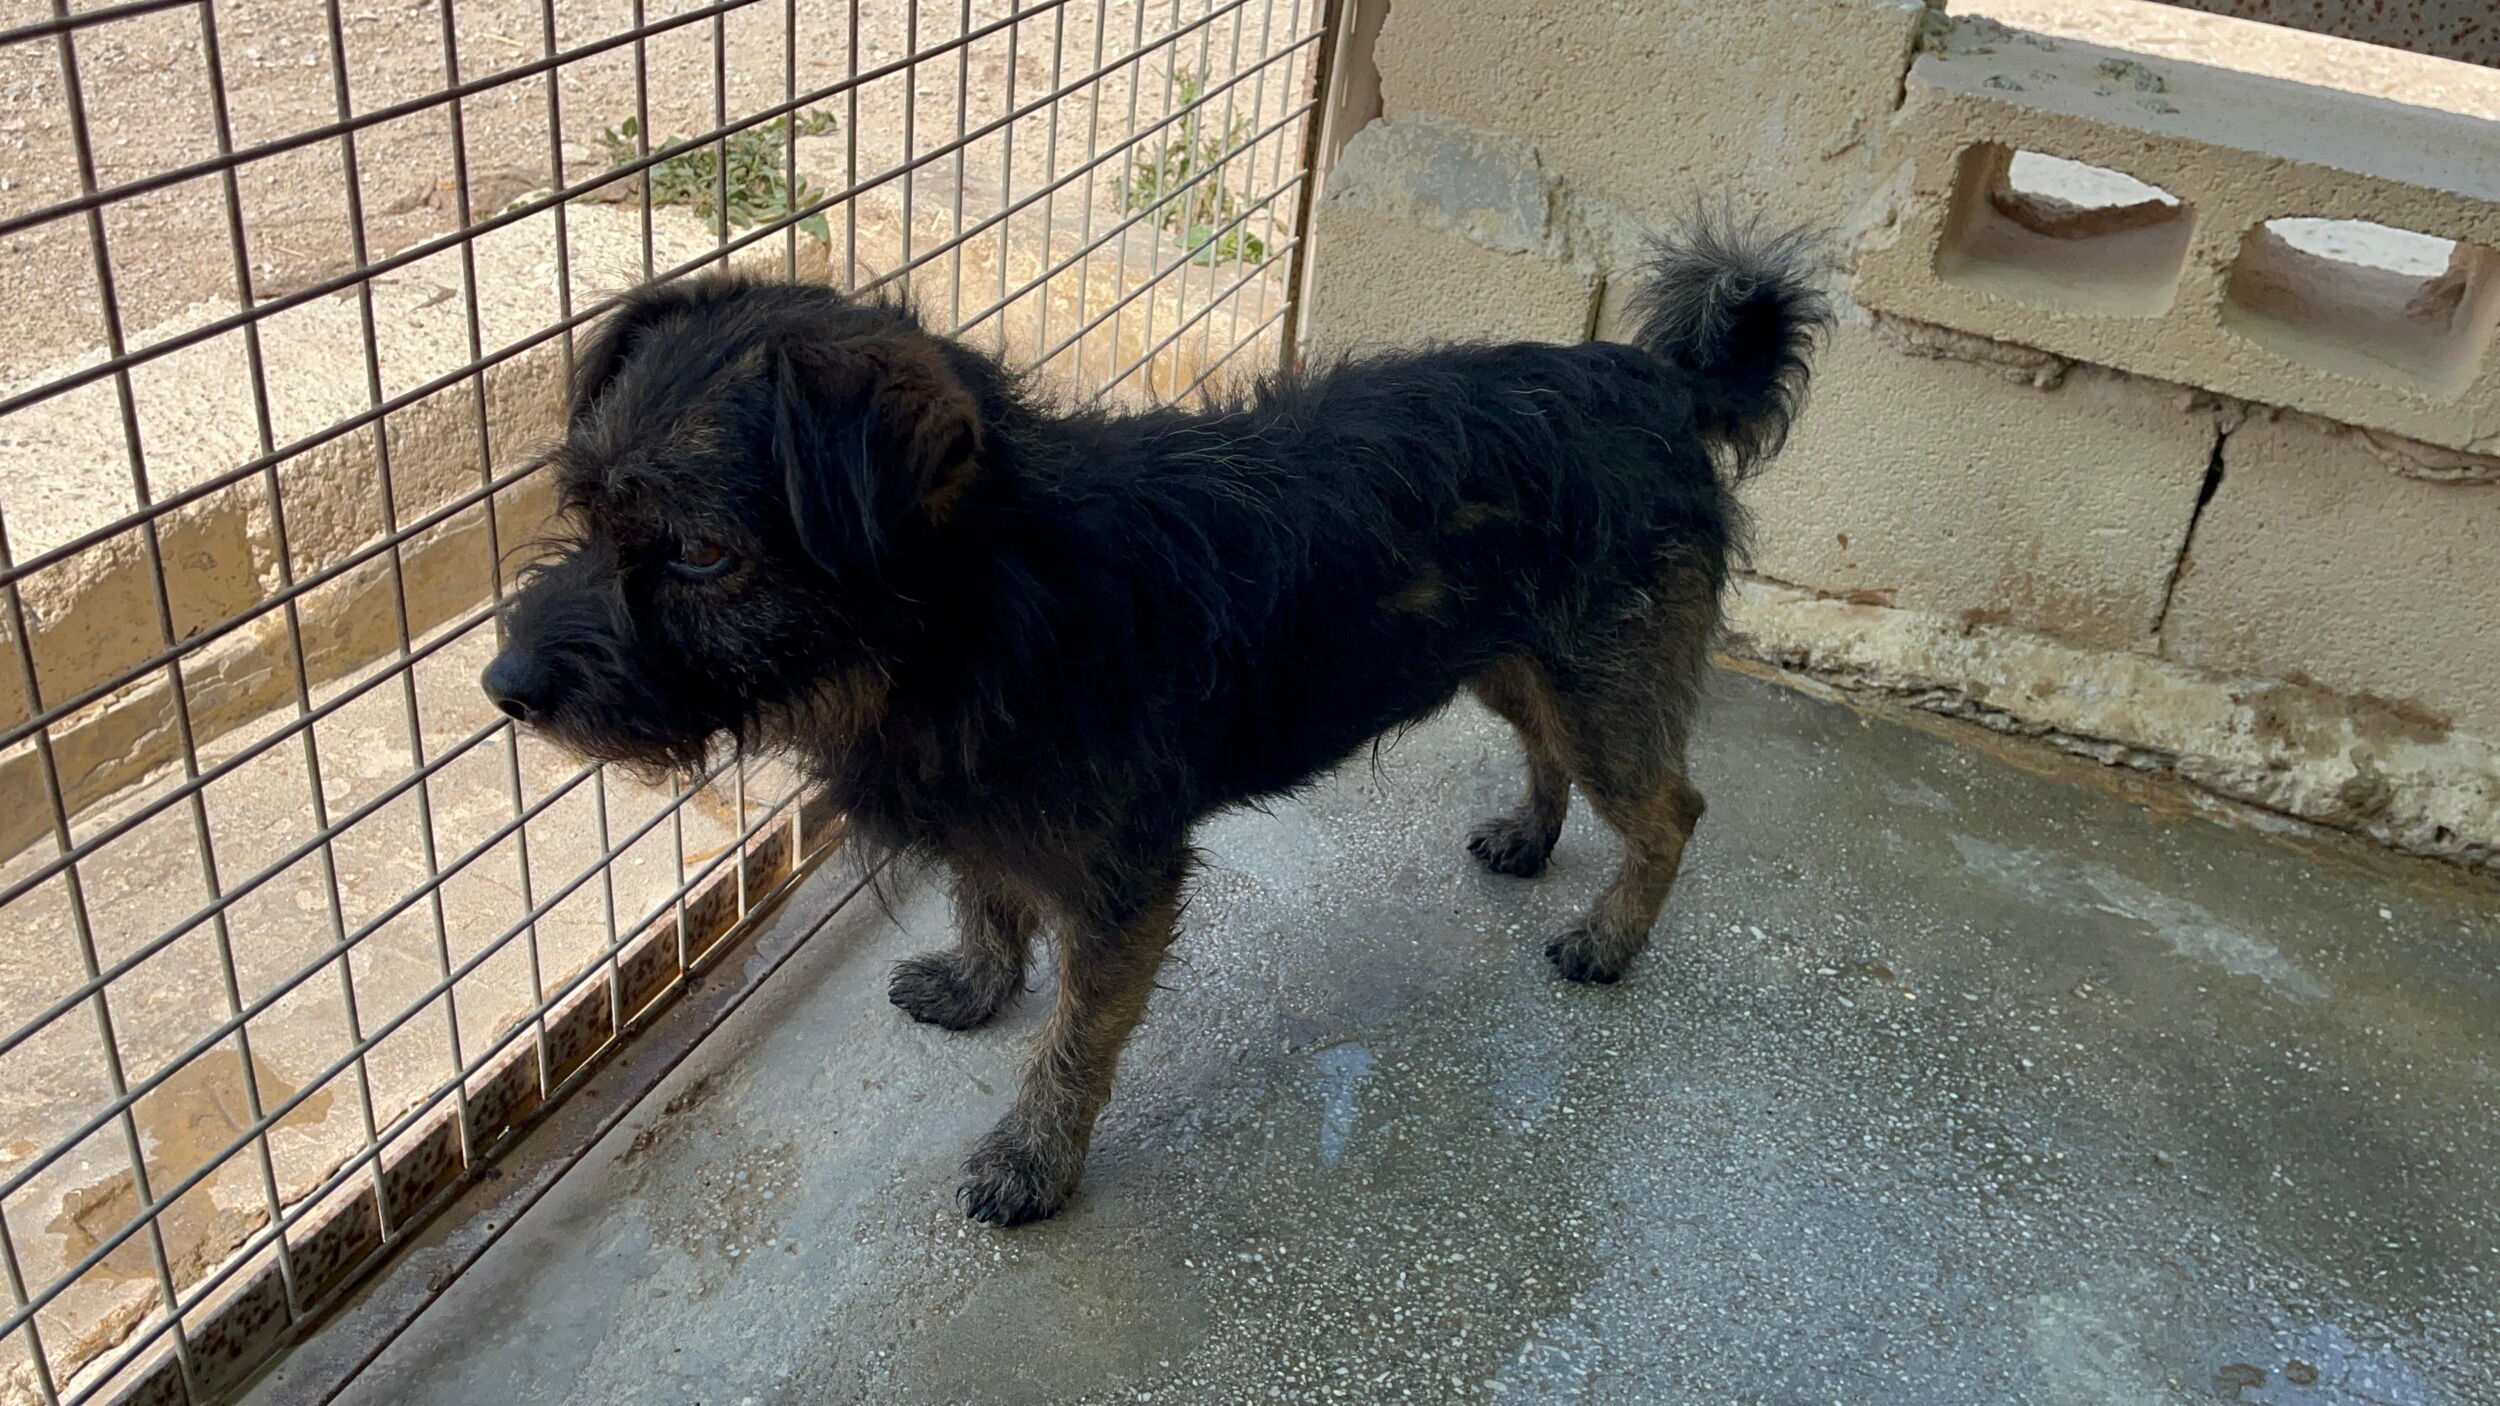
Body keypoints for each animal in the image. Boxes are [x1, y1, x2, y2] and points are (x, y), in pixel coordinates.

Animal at [482, 218, 1826, 1225]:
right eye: (583, 509)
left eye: (704, 552)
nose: (503, 685)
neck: (984, 607)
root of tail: (1657, 381)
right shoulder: (989, 808)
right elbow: (985, 894)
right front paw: (979, 982)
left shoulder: (1124, 883)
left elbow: (1077, 1038)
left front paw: (1033, 1158)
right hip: (1518, 660)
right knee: (1546, 748)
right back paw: (1529, 836)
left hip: (1602, 684)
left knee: (1670, 807)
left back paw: (1608, 937)